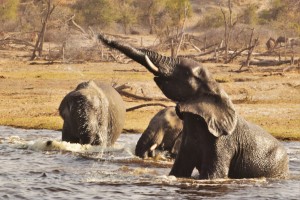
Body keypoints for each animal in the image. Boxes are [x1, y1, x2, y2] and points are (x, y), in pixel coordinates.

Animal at [98, 33, 288, 180]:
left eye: (186, 73)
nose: (102, 37)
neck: (215, 87)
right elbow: (179, 169)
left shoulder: (223, 141)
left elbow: (214, 174)